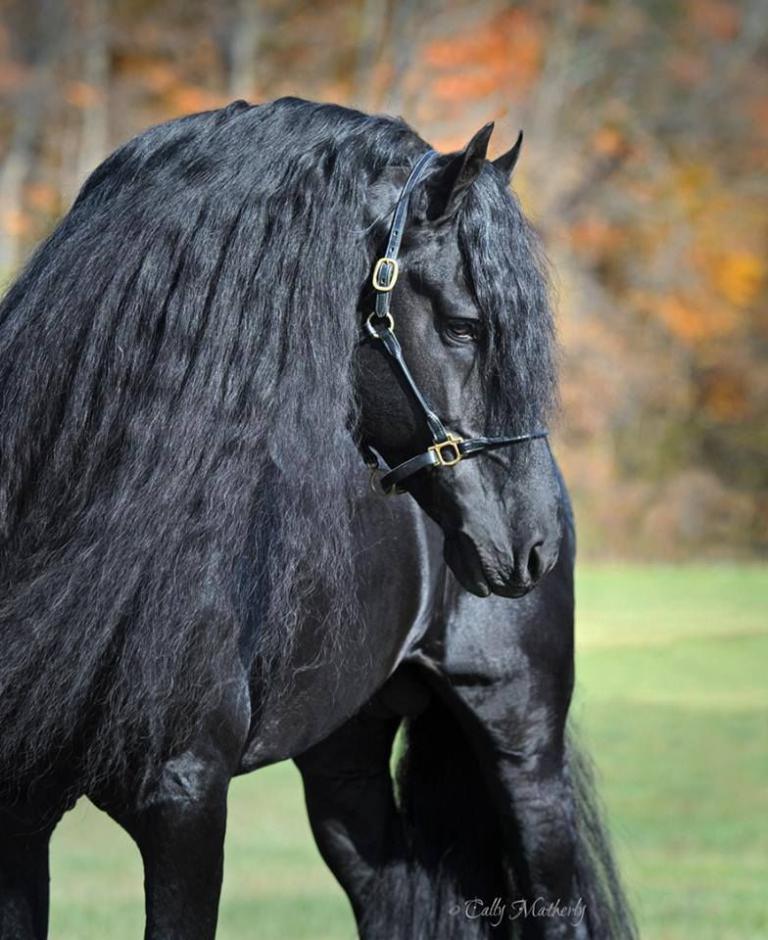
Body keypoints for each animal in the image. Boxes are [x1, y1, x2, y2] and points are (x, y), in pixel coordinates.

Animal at [0, 96, 634, 938]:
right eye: (464, 326)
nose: (533, 546)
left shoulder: (183, 803)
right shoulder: (20, 812)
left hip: (523, 748)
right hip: (344, 764)